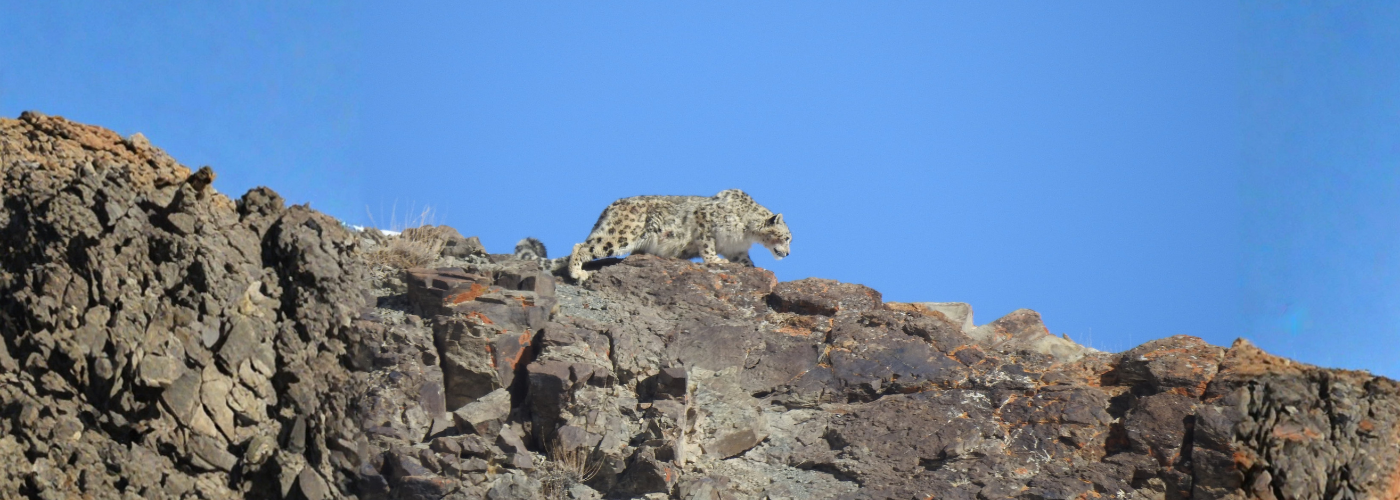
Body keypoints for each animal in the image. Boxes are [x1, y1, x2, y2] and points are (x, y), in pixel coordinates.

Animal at [564, 189, 791, 282]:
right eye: (788, 238)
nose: (788, 254)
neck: (746, 235)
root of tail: (611, 206)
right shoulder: (705, 219)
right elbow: (707, 245)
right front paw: (715, 260)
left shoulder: (737, 250)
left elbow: (745, 261)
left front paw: (752, 269)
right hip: (621, 234)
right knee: (582, 246)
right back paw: (577, 273)